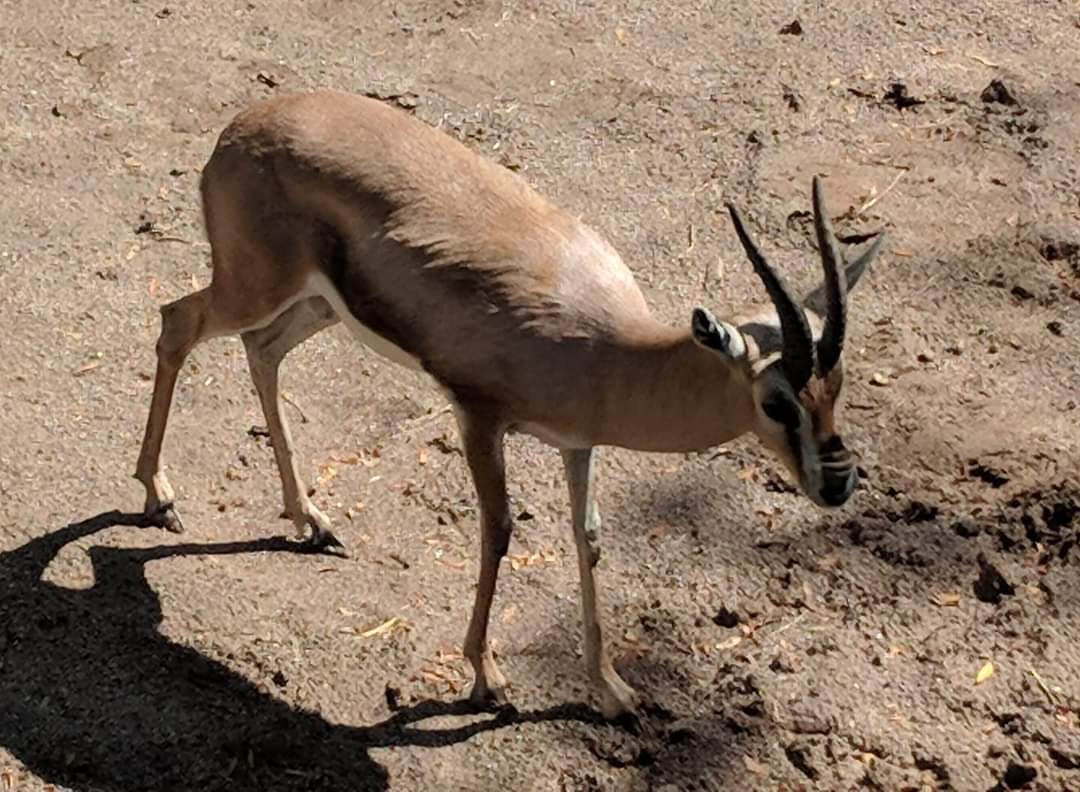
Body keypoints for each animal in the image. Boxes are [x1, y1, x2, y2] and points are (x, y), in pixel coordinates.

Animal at [134, 89, 885, 719]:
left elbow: (588, 538)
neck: (607, 350)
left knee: (263, 351)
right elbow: (498, 530)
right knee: (176, 323)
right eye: (777, 401)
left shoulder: (577, 443)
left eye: (838, 387)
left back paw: (311, 521)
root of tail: (242, 124)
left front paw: (613, 692)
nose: (838, 482)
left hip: (316, 304)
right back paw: (159, 496)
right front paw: (486, 677)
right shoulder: (478, 417)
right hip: (253, 288)